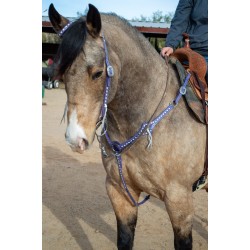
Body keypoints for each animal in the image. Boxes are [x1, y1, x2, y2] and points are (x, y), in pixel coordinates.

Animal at [48, 3, 207, 250]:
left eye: (98, 73)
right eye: (62, 73)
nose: (76, 139)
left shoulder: (179, 199)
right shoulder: (119, 192)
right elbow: (124, 239)